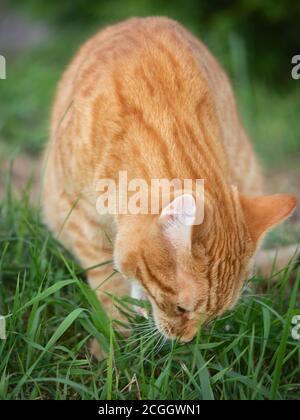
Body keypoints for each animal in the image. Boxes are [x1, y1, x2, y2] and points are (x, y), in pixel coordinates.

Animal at [41, 17, 296, 358]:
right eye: (181, 308)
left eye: (216, 315)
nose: (186, 341)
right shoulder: (75, 214)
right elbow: (107, 283)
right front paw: (113, 339)